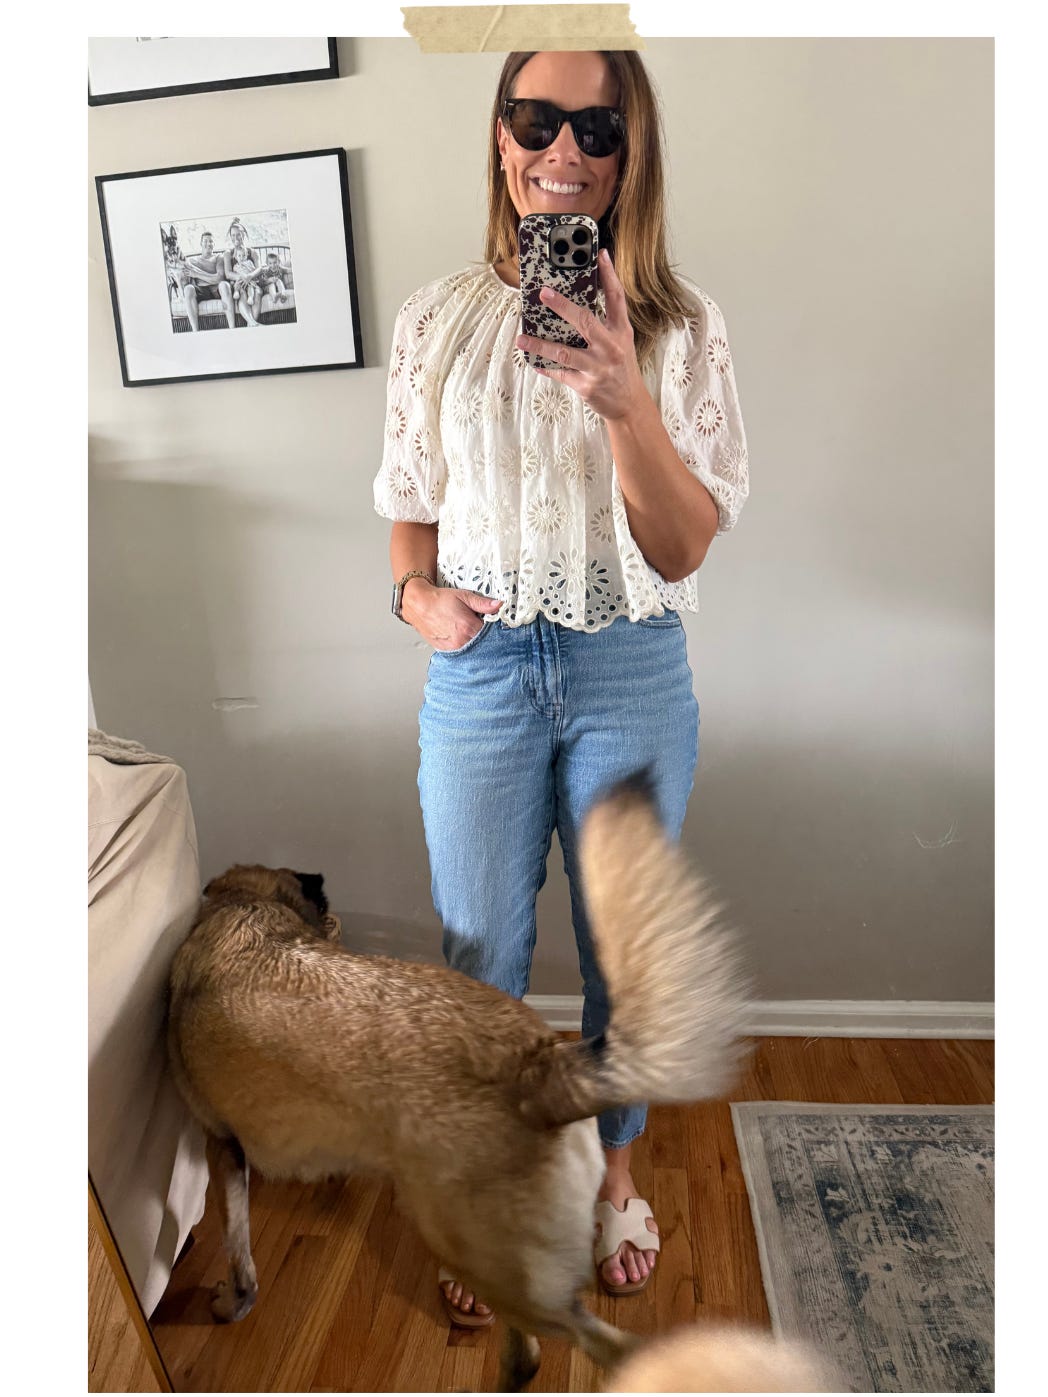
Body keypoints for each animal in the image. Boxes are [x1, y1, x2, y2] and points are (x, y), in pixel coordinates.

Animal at [167, 775, 747, 1391]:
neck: (248, 909)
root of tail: (540, 1069)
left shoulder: (221, 1143)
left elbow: (237, 1246)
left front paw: (230, 1302)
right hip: (502, 1264)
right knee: (532, 1352)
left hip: (496, 1264)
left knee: (600, 1347)